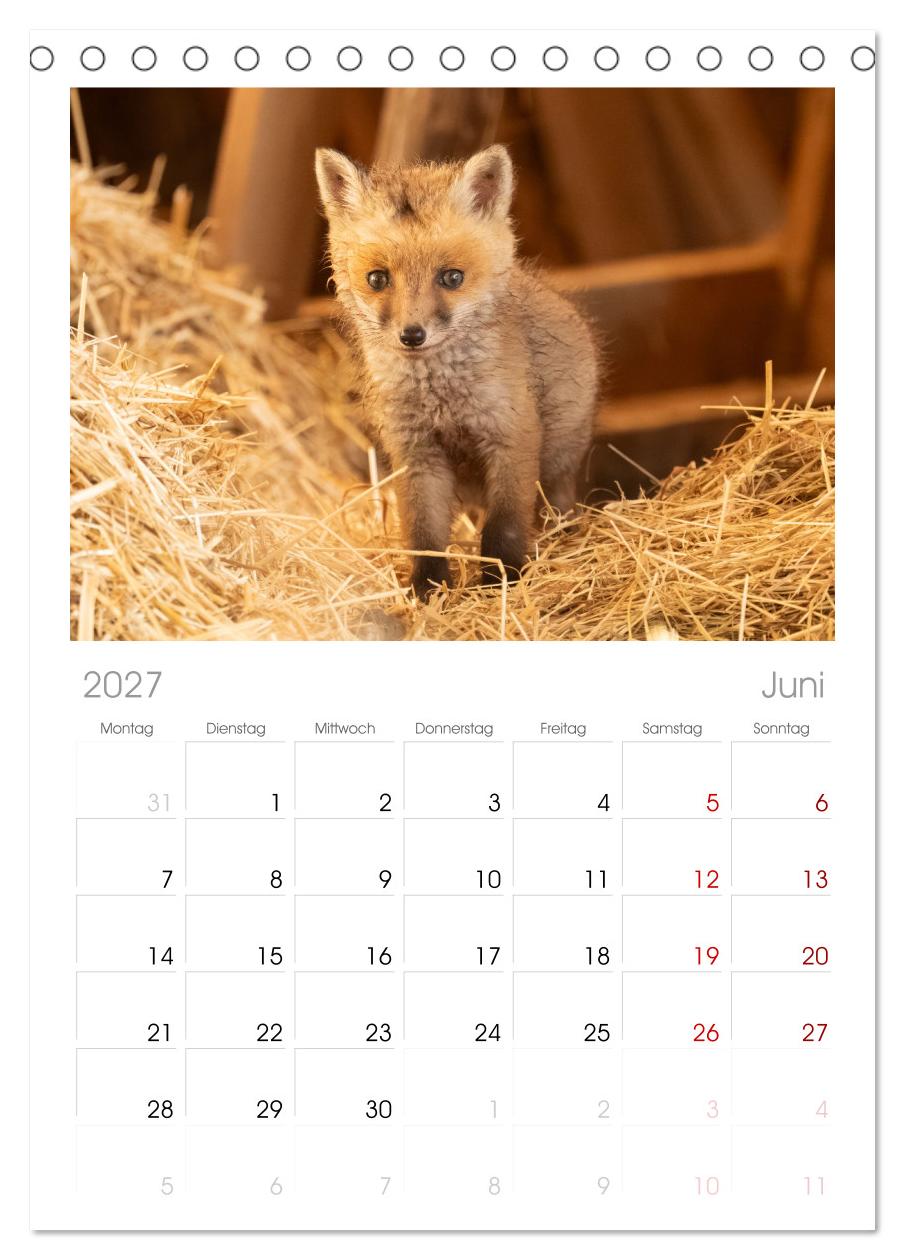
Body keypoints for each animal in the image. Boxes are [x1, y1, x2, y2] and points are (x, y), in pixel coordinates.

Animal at [314, 144, 600, 600]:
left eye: (452, 277)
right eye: (377, 279)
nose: (412, 335)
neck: (442, 398)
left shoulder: (511, 439)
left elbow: (503, 530)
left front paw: (502, 582)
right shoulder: (417, 454)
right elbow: (425, 535)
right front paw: (429, 592)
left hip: (558, 463)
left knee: (559, 506)